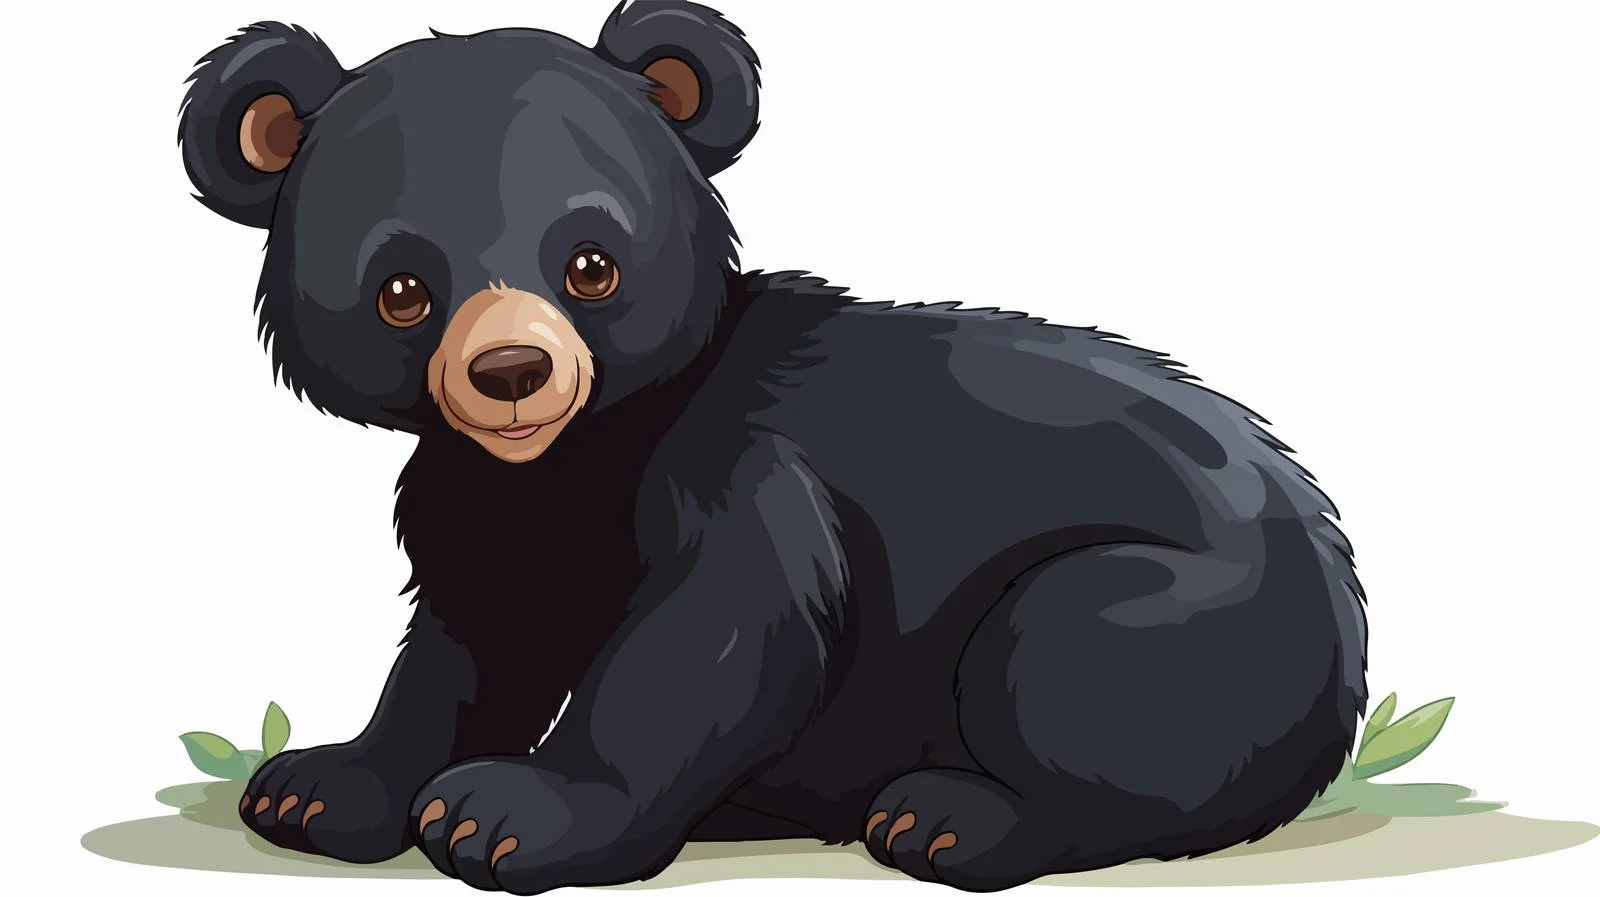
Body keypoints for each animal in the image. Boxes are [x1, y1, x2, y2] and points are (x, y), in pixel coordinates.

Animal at [177, 2, 1367, 893]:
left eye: (591, 263)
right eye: (403, 289)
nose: (512, 372)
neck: (568, 459)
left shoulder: (742, 470)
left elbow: (719, 632)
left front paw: (507, 812)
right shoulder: (472, 499)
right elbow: (472, 644)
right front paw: (320, 784)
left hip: (1196, 620)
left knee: (1070, 667)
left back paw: (949, 819)